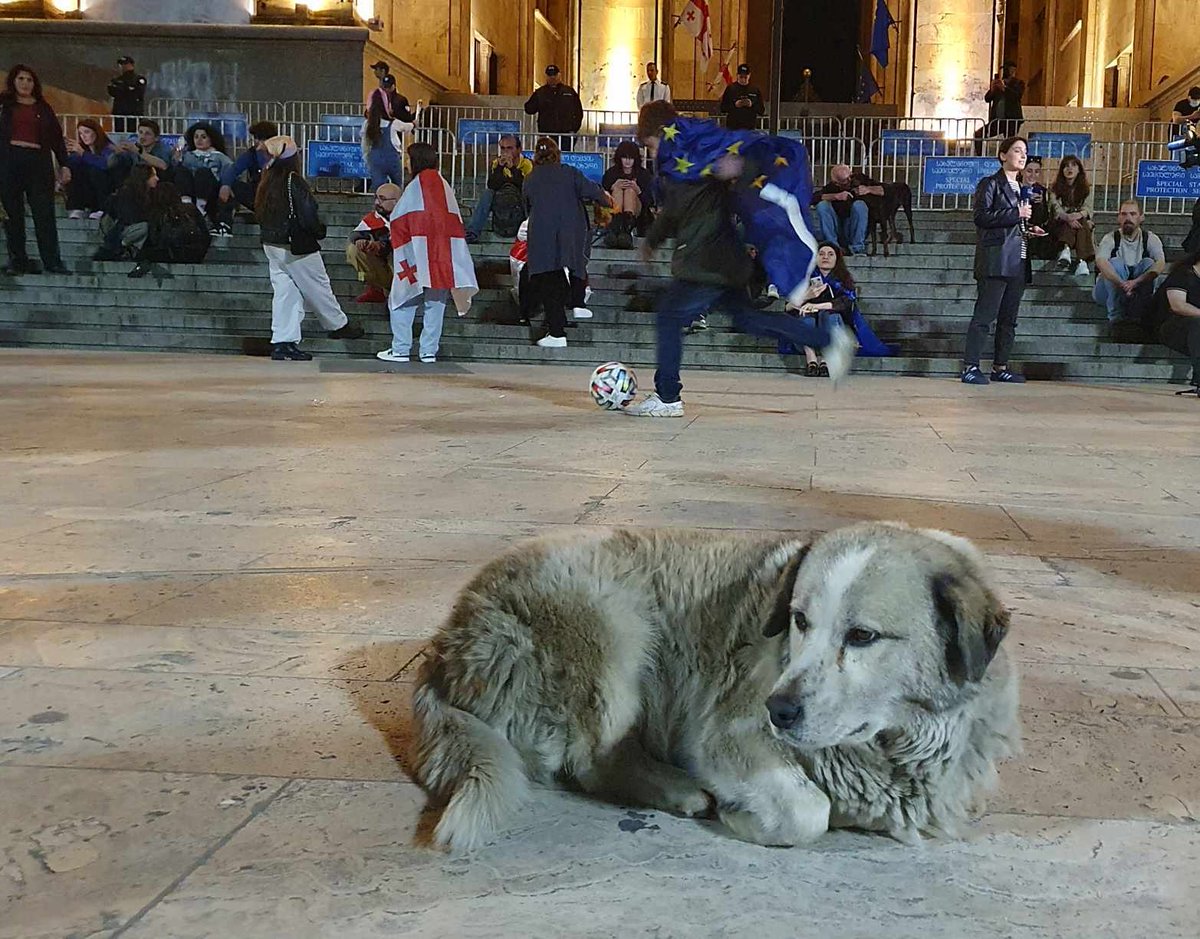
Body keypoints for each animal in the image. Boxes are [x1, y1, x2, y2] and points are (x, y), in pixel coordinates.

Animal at [412, 521, 1022, 854]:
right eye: (800, 620)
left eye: (863, 636)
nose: (779, 710)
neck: (892, 745)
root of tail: (444, 640)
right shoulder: (726, 734)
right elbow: (809, 811)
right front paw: (746, 817)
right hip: (616, 616)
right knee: (590, 760)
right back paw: (679, 791)